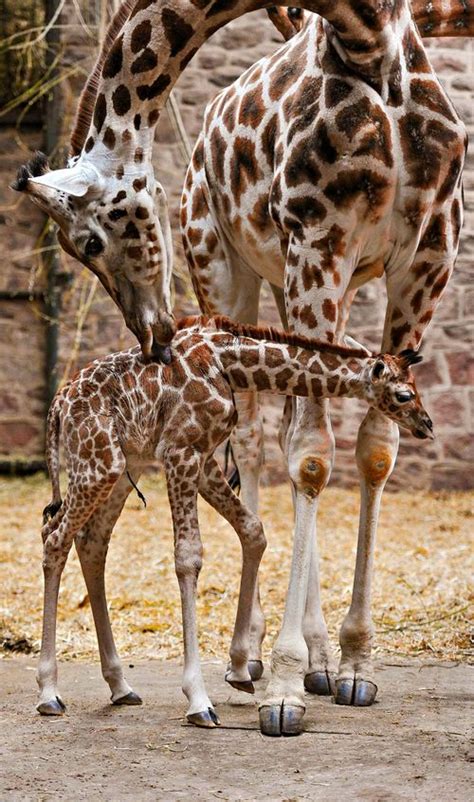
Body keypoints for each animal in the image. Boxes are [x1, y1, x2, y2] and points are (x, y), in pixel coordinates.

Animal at [39, 316, 432, 728]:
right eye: (404, 395)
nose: (427, 424)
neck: (229, 363)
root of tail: (57, 407)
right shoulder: (180, 450)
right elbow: (188, 557)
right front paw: (198, 699)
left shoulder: (203, 455)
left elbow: (253, 531)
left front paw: (241, 668)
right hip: (99, 465)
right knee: (55, 538)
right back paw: (49, 693)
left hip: (122, 465)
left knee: (90, 541)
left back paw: (120, 685)